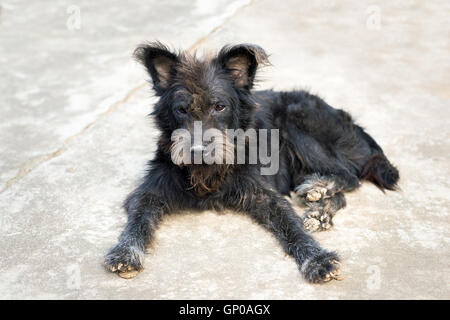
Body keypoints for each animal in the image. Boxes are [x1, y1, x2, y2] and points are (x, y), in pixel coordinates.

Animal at [103, 42, 400, 282]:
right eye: (182, 109)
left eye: (219, 106)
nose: (197, 150)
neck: (207, 173)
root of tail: (348, 120)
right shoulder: (151, 191)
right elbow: (138, 219)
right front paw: (125, 252)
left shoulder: (264, 194)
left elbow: (290, 224)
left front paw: (317, 259)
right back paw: (319, 210)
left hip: (298, 122)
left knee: (349, 176)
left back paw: (319, 188)